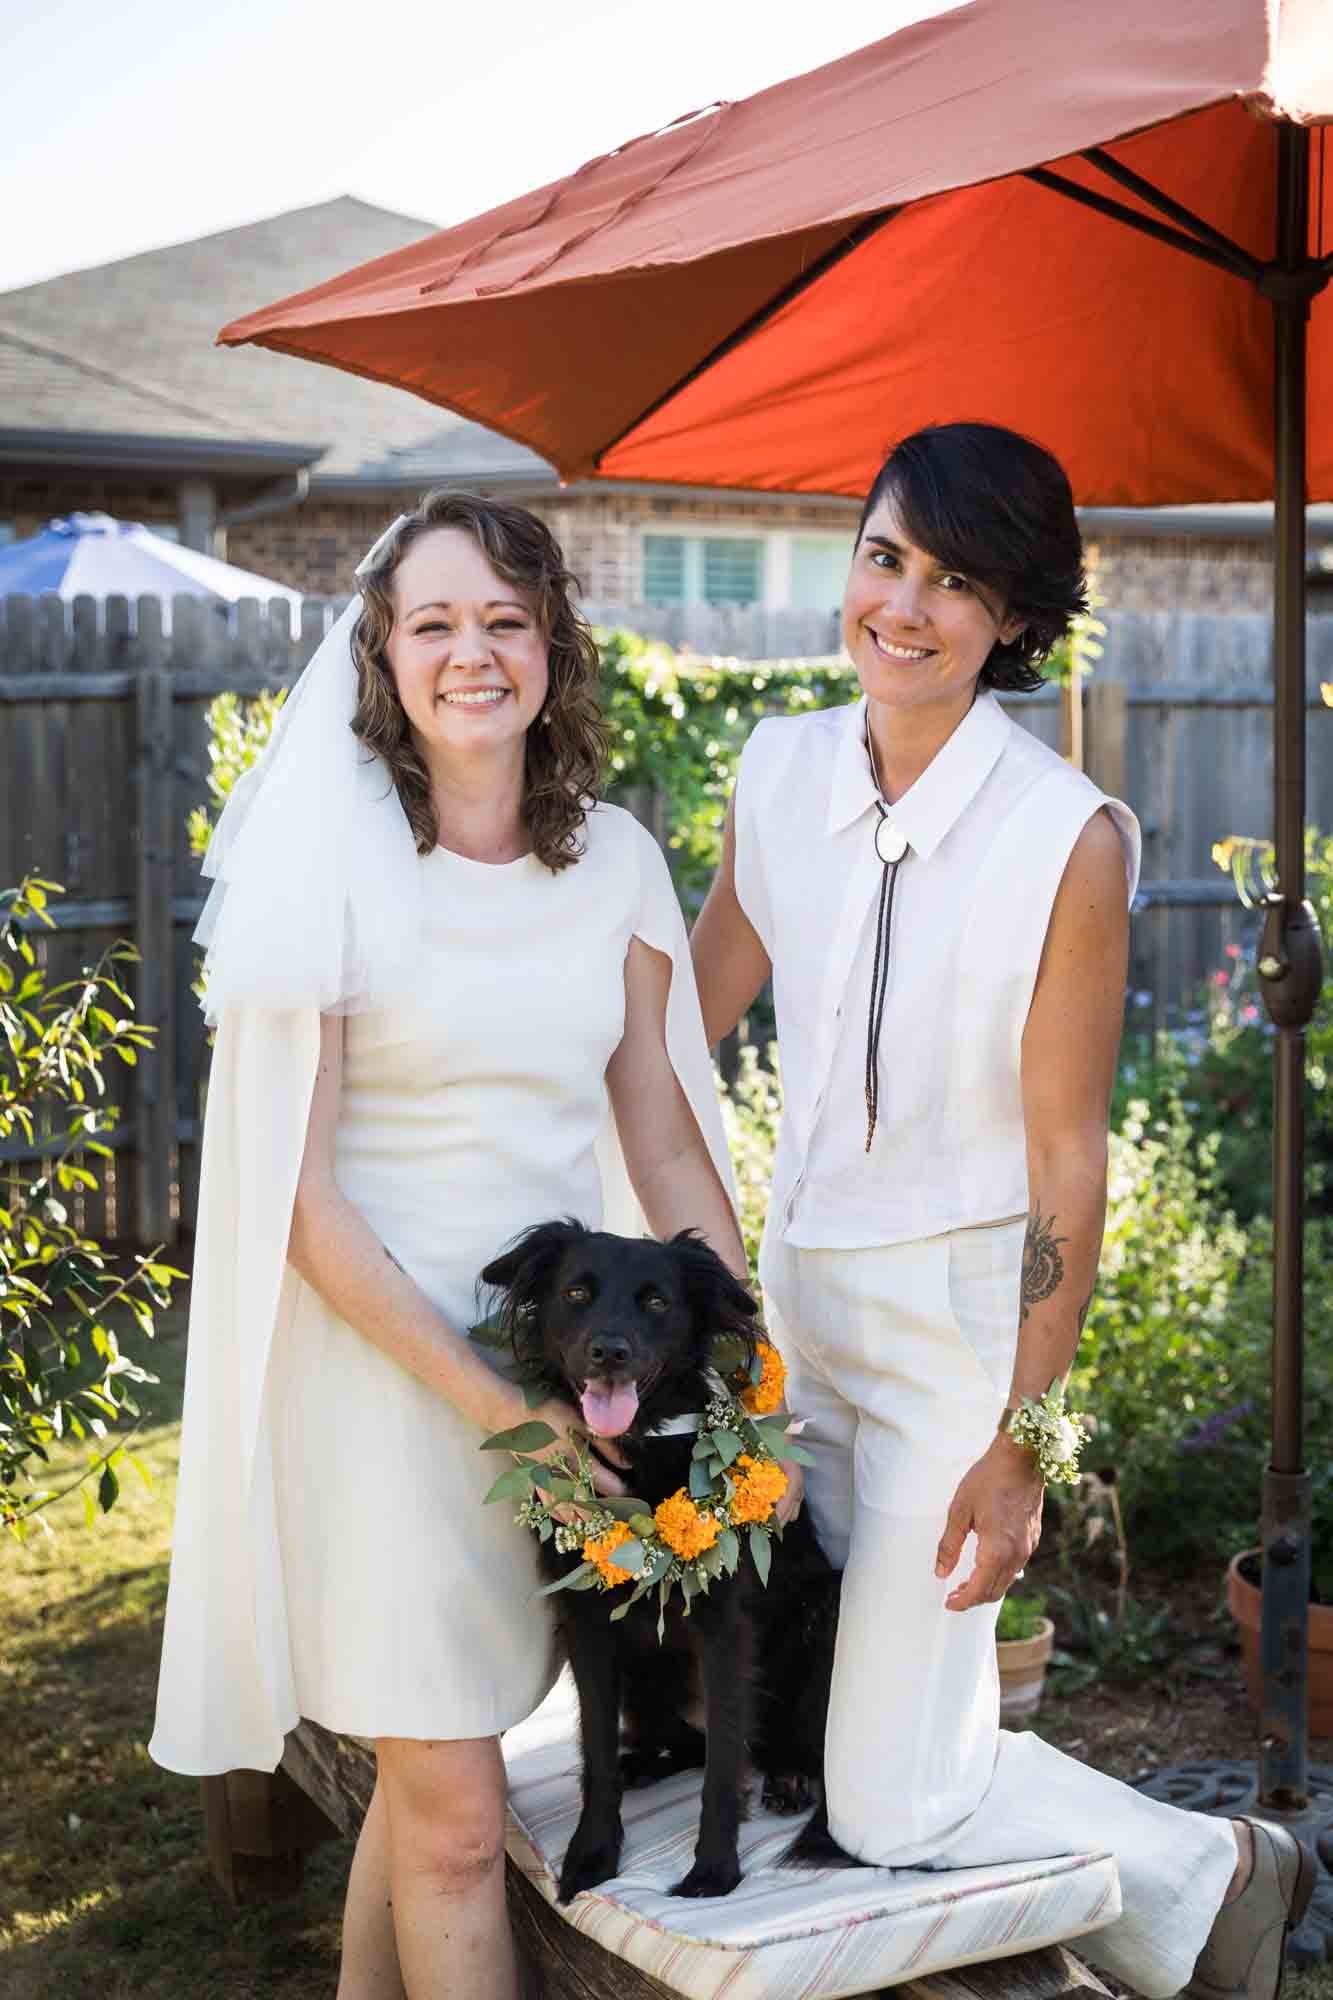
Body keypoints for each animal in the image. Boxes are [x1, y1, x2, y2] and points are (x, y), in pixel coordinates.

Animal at [480, 1216, 840, 1904]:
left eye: (655, 1303)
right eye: (575, 1293)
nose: (609, 1351)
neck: (637, 1448)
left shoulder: (726, 1628)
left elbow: (725, 1762)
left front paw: (714, 1870)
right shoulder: (588, 1626)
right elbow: (594, 1749)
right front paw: (593, 1853)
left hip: (825, 1618)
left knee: (772, 1744)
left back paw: (789, 1776)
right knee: (678, 1746)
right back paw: (642, 1763)